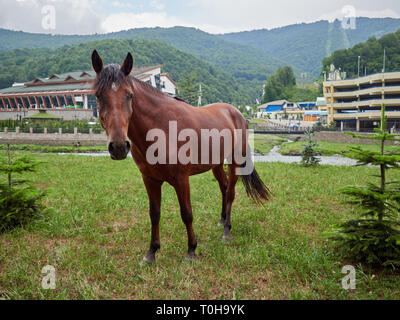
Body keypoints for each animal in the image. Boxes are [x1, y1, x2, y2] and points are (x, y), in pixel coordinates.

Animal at [92, 50, 270, 264]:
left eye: (129, 95)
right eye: (98, 95)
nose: (118, 146)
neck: (160, 128)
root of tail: (237, 114)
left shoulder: (181, 179)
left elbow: (186, 213)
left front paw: (191, 250)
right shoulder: (150, 180)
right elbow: (154, 214)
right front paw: (151, 252)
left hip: (235, 161)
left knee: (231, 193)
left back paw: (227, 231)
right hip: (216, 164)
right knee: (224, 187)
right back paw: (221, 219)